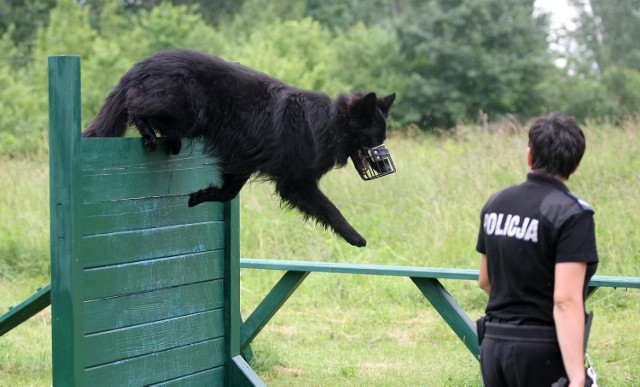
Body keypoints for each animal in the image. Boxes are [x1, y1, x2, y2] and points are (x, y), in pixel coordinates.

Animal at [84, 49, 396, 249]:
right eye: (374, 139)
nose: (385, 164)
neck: (331, 123)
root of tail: (140, 66)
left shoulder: (242, 161)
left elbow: (228, 192)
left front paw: (201, 195)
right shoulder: (296, 182)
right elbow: (330, 208)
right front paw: (354, 236)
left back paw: (169, 141)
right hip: (186, 112)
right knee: (136, 107)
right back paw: (149, 132)